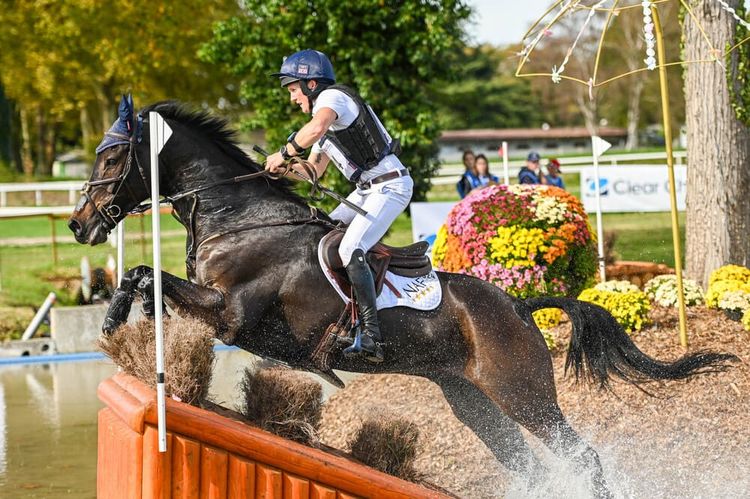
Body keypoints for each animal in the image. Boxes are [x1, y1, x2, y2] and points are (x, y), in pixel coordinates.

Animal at [67, 99, 736, 498]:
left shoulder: (233, 317)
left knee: (583, 456)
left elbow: (149, 276)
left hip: (523, 393)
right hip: (474, 401)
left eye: (111, 155)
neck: (242, 217)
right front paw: (125, 321)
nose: (80, 225)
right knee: (524, 460)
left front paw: (125, 320)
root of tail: (519, 308)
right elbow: (141, 276)